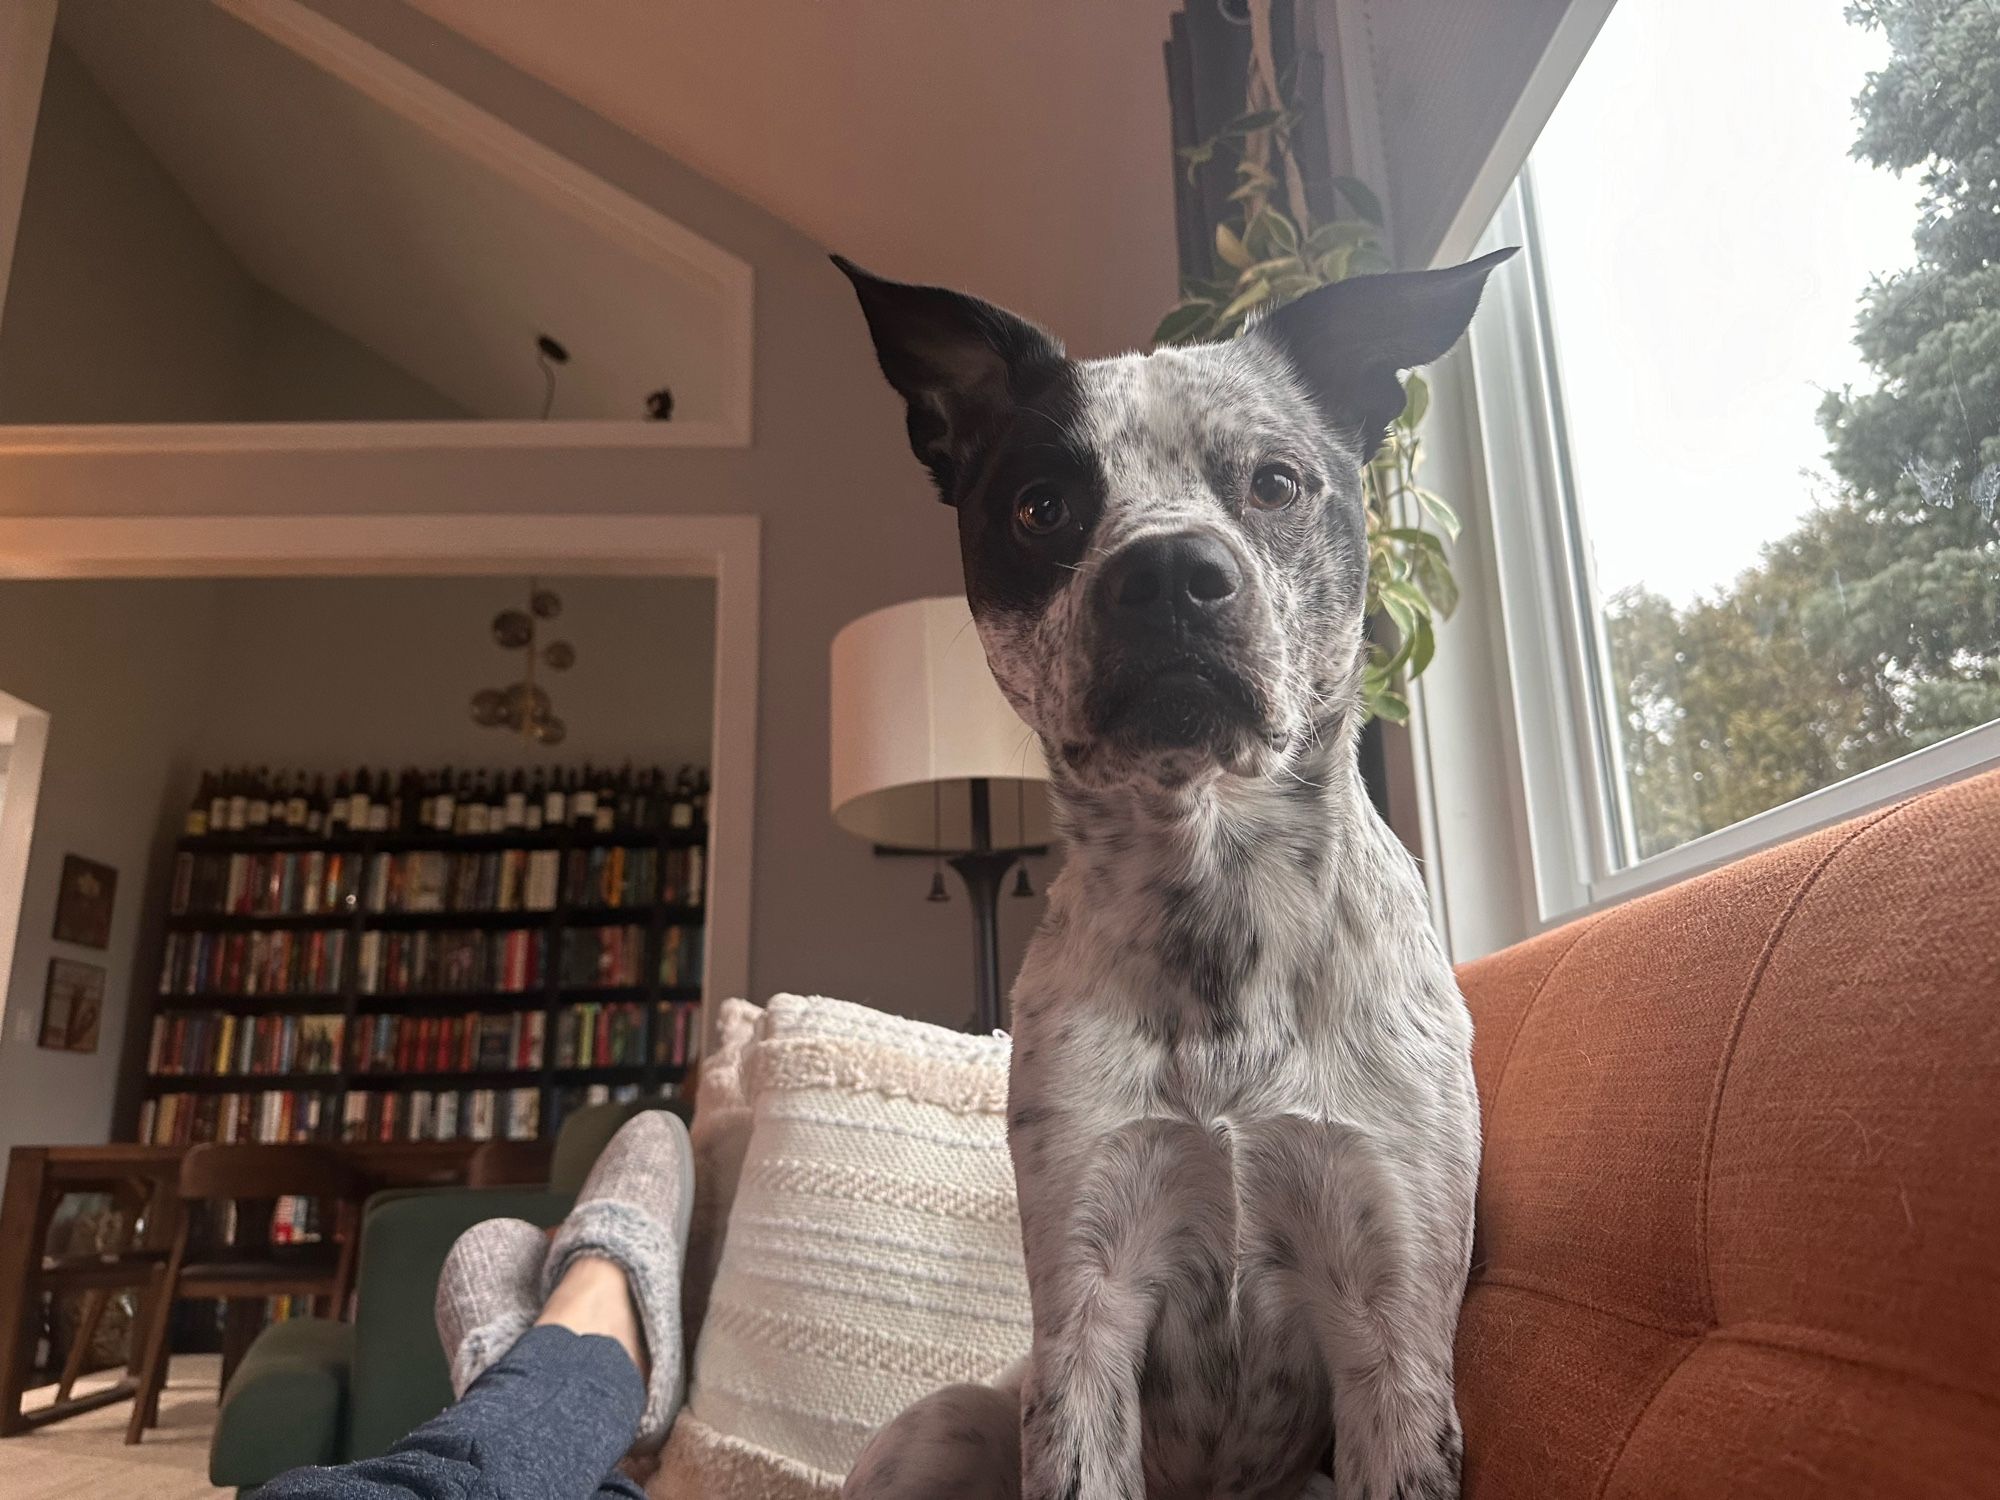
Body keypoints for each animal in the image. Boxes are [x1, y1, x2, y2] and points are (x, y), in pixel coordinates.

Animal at [836, 247, 1504, 1500]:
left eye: (1275, 482)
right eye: (1040, 505)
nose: (1167, 574)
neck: (1214, 891)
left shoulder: (1393, 1321)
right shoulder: (1087, 1305)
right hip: (941, 1426)